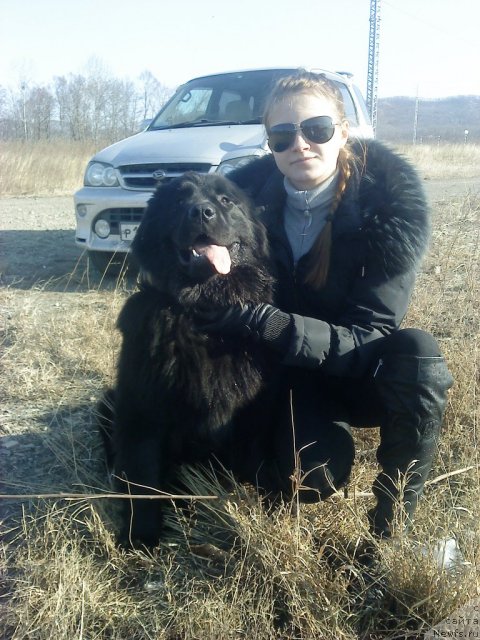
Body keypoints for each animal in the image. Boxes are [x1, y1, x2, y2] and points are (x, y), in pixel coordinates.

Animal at [100, 171, 278, 544]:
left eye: (225, 200)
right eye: (179, 201)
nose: (201, 212)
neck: (201, 313)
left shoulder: (254, 412)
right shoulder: (142, 408)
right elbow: (143, 478)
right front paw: (141, 536)